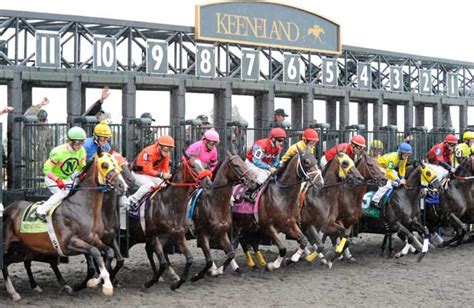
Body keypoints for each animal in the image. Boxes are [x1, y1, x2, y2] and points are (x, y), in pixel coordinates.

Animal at [1, 153, 127, 302]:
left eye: (117, 164)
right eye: (105, 165)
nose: (122, 185)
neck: (82, 207)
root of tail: (8, 208)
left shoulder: (94, 239)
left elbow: (108, 252)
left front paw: (96, 282)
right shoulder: (68, 243)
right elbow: (95, 252)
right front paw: (105, 285)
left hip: (24, 247)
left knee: (14, 262)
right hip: (6, 243)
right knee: (3, 263)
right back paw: (13, 292)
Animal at [123, 155, 212, 290]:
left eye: (205, 165)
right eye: (192, 165)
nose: (208, 183)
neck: (170, 205)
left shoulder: (178, 236)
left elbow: (189, 259)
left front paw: (178, 283)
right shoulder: (155, 237)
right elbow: (163, 262)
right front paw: (149, 282)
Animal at [189, 150, 258, 282]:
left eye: (243, 162)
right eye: (236, 165)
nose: (254, 181)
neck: (214, 203)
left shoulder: (222, 232)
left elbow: (231, 253)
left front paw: (219, 270)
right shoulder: (202, 233)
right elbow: (209, 258)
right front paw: (198, 275)